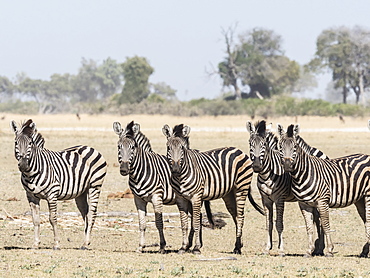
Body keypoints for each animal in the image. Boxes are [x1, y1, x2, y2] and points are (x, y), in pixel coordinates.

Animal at [9, 119, 107, 250]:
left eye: (30, 143)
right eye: (16, 142)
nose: (24, 165)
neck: (31, 173)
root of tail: (89, 147)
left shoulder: (52, 194)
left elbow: (53, 218)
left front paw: (56, 244)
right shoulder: (31, 196)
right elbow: (35, 219)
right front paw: (35, 244)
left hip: (95, 186)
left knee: (92, 214)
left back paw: (86, 244)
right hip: (81, 192)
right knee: (85, 214)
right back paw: (85, 242)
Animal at [112, 121, 212, 254]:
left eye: (132, 147)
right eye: (119, 147)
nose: (124, 169)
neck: (141, 170)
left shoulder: (157, 196)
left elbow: (159, 223)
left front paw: (162, 246)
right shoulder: (138, 199)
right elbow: (142, 224)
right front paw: (140, 247)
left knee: (197, 218)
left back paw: (195, 245)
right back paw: (191, 245)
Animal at [163, 124, 264, 254]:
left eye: (182, 148)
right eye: (168, 147)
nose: (175, 169)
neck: (181, 176)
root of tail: (239, 150)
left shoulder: (196, 197)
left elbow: (196, 222)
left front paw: (196, 247)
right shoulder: (180, 198)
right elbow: (184, 224)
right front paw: (183, 247)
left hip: (241, 188)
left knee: (241, 217)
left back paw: (237, 248)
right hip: (229, 194)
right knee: (236, 216)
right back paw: (238, 245)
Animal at [247, 120, 326, 258]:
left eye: (264, 144)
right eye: (250, 144)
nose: (256, 166)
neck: (267, 174)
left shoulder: (280, 199)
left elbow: (279, 224)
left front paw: (281, 250)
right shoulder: (265, 199)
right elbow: (268, 224)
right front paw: (267, 248)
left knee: (320, 219)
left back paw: (320, 249)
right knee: (316, 218)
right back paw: (317, 249)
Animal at [278, 122, 370, 258]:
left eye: (295, 147)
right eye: (280, 147)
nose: (287, 166)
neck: (303, 174)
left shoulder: (322, 202)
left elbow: (326, 226)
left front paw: (329, 250)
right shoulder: (303, 204)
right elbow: (309, 228)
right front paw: (309, 251)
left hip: (368, 196)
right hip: (360, 199)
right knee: (366, 221)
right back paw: (364, 251)